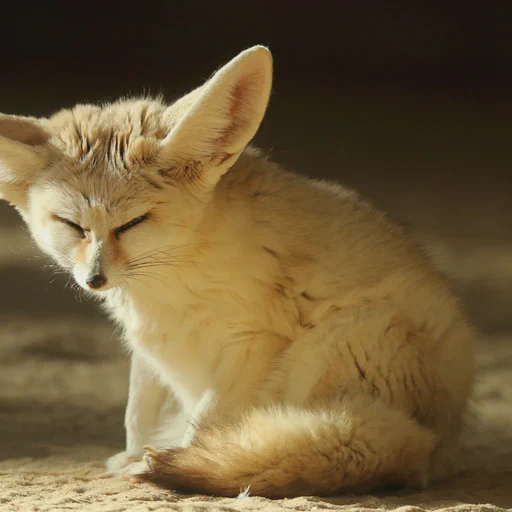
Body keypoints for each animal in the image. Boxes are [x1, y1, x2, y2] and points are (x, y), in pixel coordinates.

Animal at [0, 47, 472, 496]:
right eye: (72, 225)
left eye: (133, 223)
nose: (95, 279)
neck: (171, 280)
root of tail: (439, 443)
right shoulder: (147, 344)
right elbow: (137, 414)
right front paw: (135, 455)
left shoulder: (253, 343)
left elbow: (204, 421)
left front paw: (164, 461)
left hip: (342, 335)